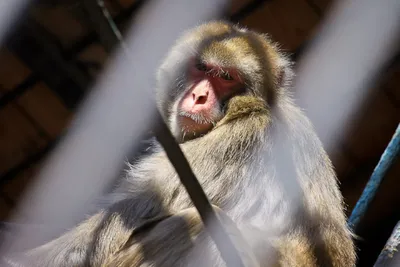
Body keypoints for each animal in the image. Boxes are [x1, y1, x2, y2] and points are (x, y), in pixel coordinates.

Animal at [5, 21, 356, 267]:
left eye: (226, 78)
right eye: (201, 68)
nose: (199, 96)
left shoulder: (239, 139)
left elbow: (123, 219)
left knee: (201, 227)